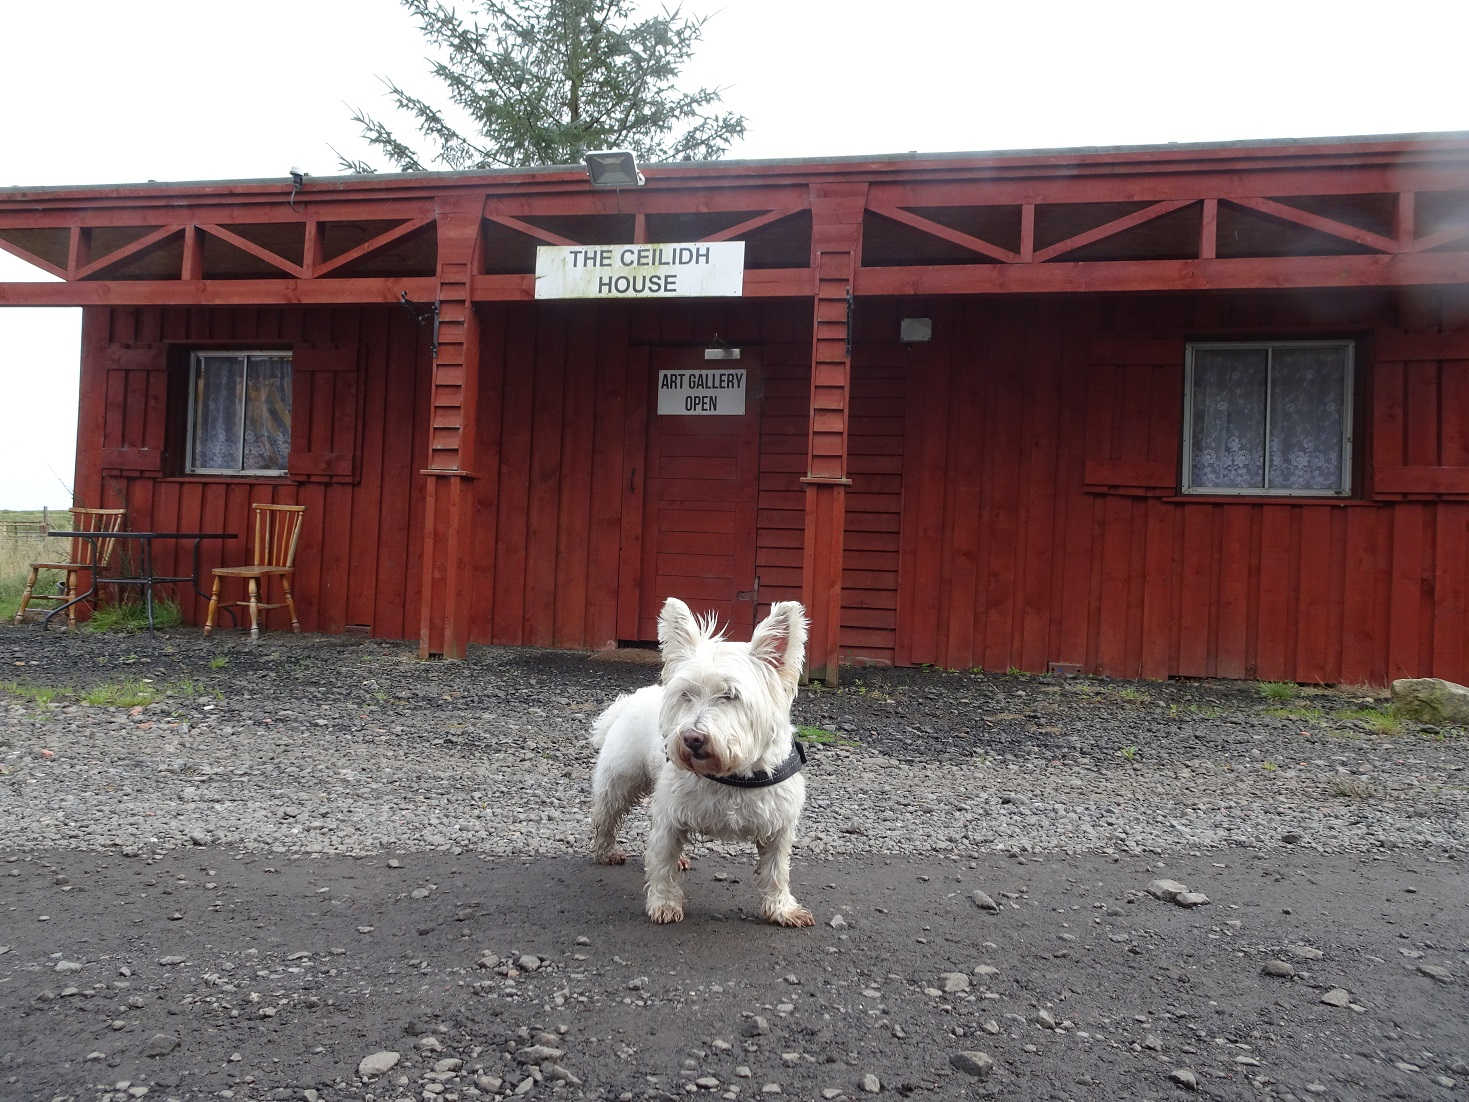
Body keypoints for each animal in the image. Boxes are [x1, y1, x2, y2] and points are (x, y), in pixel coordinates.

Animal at [587, 599, 816, 928]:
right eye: (686, 694)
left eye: (730, 695)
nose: (692, 738)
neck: (731, 774)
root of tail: (629, 699)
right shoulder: (670, 817)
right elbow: (662, 862)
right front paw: (664, 904)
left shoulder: (778, 827)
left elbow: (776, 871)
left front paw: (782, 909)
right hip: (619, 781)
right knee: (605, 817)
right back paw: (606, 851)